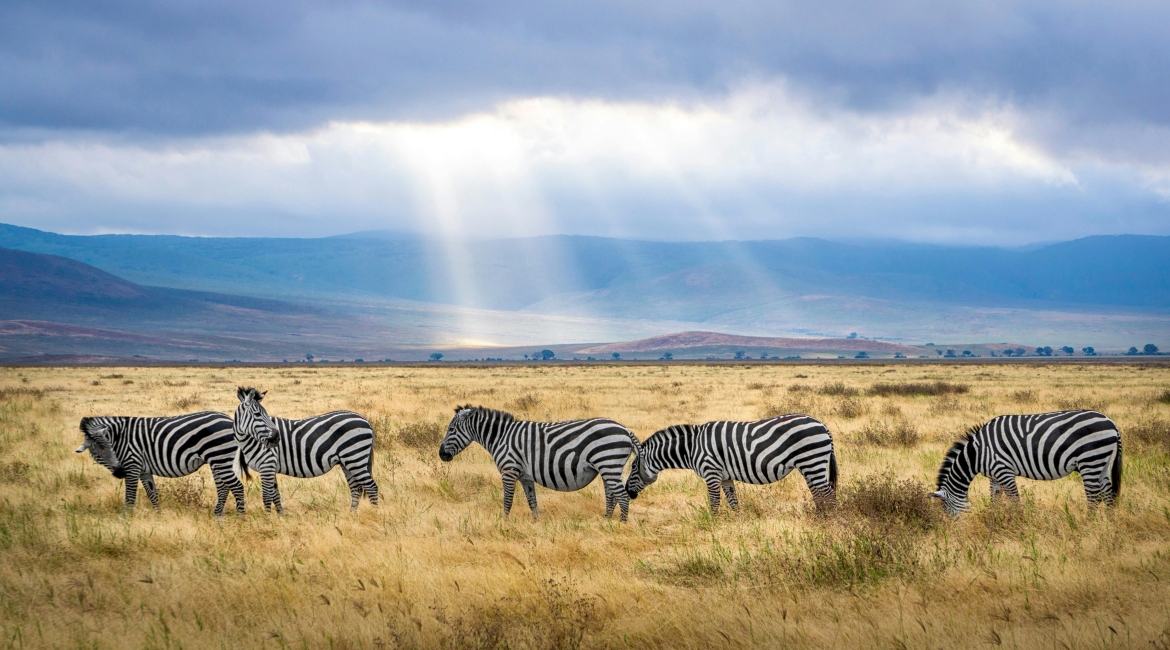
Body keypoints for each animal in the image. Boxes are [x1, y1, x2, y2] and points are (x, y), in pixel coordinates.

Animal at [74, 413, 244, 514]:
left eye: (111, 448)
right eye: (97, 454)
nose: (120, 472)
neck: (120, 437)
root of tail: (229, 419)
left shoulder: (132, 465)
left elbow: (130, 497)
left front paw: (125, 520)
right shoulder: (143, 470)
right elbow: (152, 494)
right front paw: (158, 516)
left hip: (220, 458)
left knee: (237, 487)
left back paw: (240, 517)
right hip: (217, 461)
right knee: (223, 488)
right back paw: (217, 516)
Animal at [235, 385, 381, 512]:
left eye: (264, 414)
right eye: (257, 414)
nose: (276, 438)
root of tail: (365, 420)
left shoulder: (267, 465)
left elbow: (266, 496)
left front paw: (268, 519)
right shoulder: (270, 467)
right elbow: (275, 495)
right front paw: (281, 517)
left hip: (355, 457)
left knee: (371, 487)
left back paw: (375, 514)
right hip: (347, 461)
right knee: (356, 488)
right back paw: (352, 515)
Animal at [439, 406, 641, 523]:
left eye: (451, 429)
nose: (441, 454)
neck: (501, 437)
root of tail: (625, 429)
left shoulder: (509, 470)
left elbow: (507, 500)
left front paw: (504, 523)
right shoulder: (525, 476)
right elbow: (532, 501)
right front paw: (535, 524)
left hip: (609, 464)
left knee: (623, 497)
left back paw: (621, 525)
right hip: (607, 468)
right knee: (611, 496)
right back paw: (605, 522)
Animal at [627, 413, 837, 514]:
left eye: (633, 468)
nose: (628, 492)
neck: (692, 448)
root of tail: (822, 425)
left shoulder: (711, 472)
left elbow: (714, 502)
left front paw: (712, 525)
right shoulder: (725, 477)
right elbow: (733, 502)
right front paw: (739, 523)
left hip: (811, 461)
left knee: (828, 494)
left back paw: (829, 521)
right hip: (810, 465)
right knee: (819, 494)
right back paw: (820, 518)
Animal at [931, 409, 1123, 514]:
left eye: (946, 510)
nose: (953, 531)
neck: (977, 453)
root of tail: (1112, 423)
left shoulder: (1004, 470)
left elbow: (1015, 500)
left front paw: (1020, 523)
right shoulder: (994, 475)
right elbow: (995, 499)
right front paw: (993, 519)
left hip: (1089, 460)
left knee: (1094, 497)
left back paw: (1087, 525)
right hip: (1102, 462)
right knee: (1107, 493)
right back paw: (1109, 525)